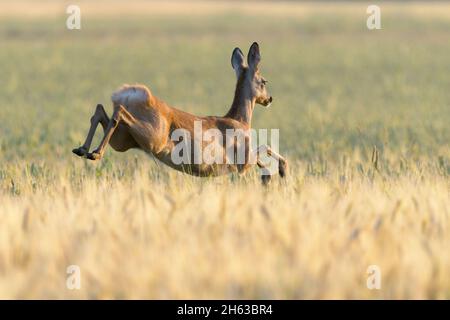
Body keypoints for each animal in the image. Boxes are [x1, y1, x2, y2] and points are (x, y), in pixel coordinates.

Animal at [72, 41, 286, 184]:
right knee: (118, 112)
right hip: (152, 136)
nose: (269, 99)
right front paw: (280, 171)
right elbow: (265, 147)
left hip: (124, 140)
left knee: (101, 110)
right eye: (264, 81)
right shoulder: (243, 160)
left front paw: (270, 176)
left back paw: (83, 150)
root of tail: (128, 94)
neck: (240, 120)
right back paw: (94, 153)